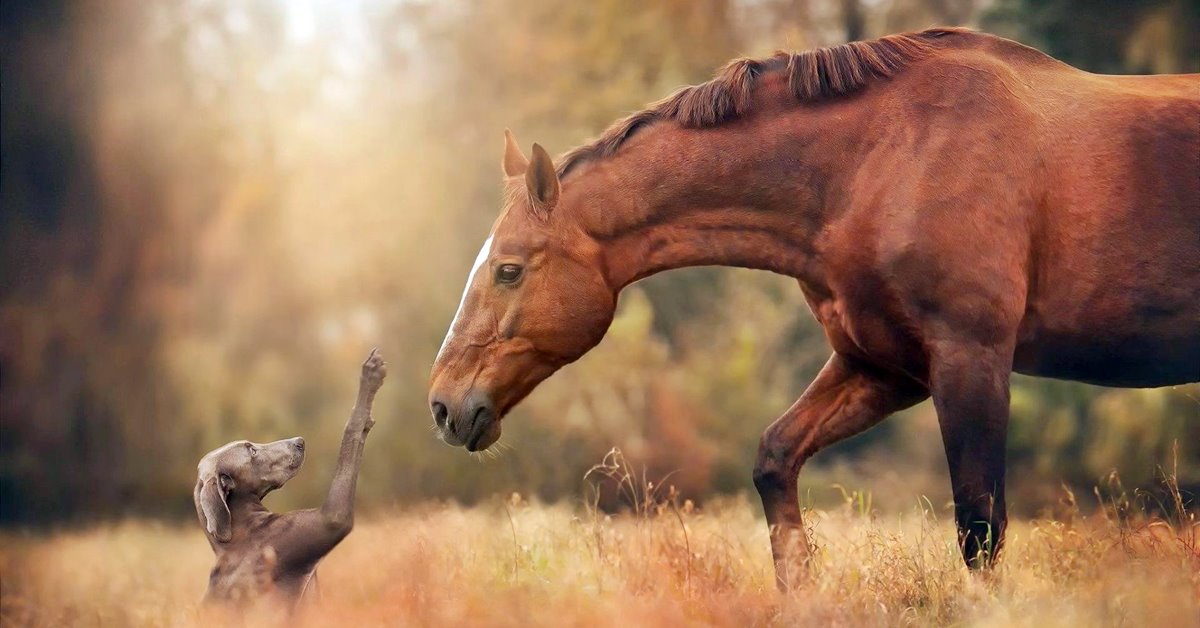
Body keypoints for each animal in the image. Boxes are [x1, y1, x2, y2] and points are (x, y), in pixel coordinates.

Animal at [427, 28, 1195, 590]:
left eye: (508, 270)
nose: (442, 405)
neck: (883, 157)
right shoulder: (885, 367)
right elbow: (775, 460)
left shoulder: (969, 359)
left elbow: (980, 527)